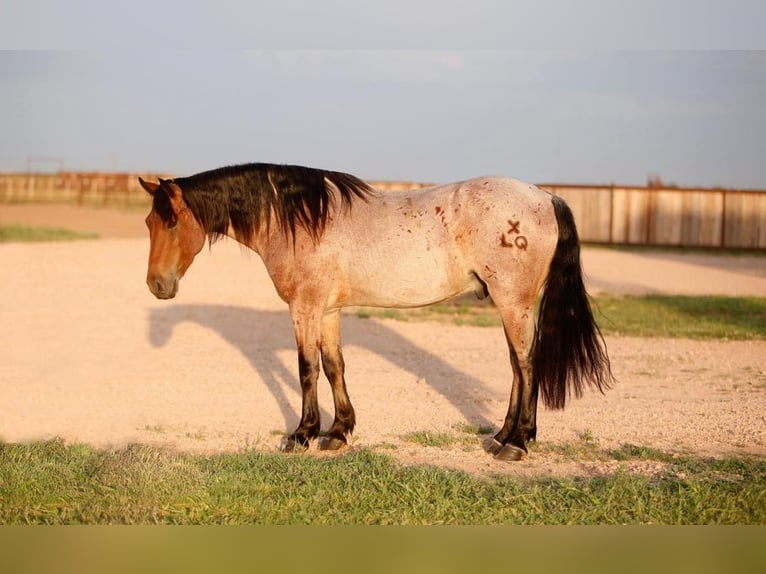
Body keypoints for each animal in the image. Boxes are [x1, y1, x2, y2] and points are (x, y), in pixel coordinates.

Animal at [141, 163, 616, 464]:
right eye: (148, 223)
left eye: (171, 222)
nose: (157, 285)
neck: (300, 219)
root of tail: (545, 196)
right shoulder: (328, 310)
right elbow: (334, 365)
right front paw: (338, 432)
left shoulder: (304, 308)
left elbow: (306, 369)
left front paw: (302, 434)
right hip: (511, 306)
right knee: (518, 367)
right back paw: (500, 437)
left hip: (513, 302)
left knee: (527, 364)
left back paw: (516, 444)